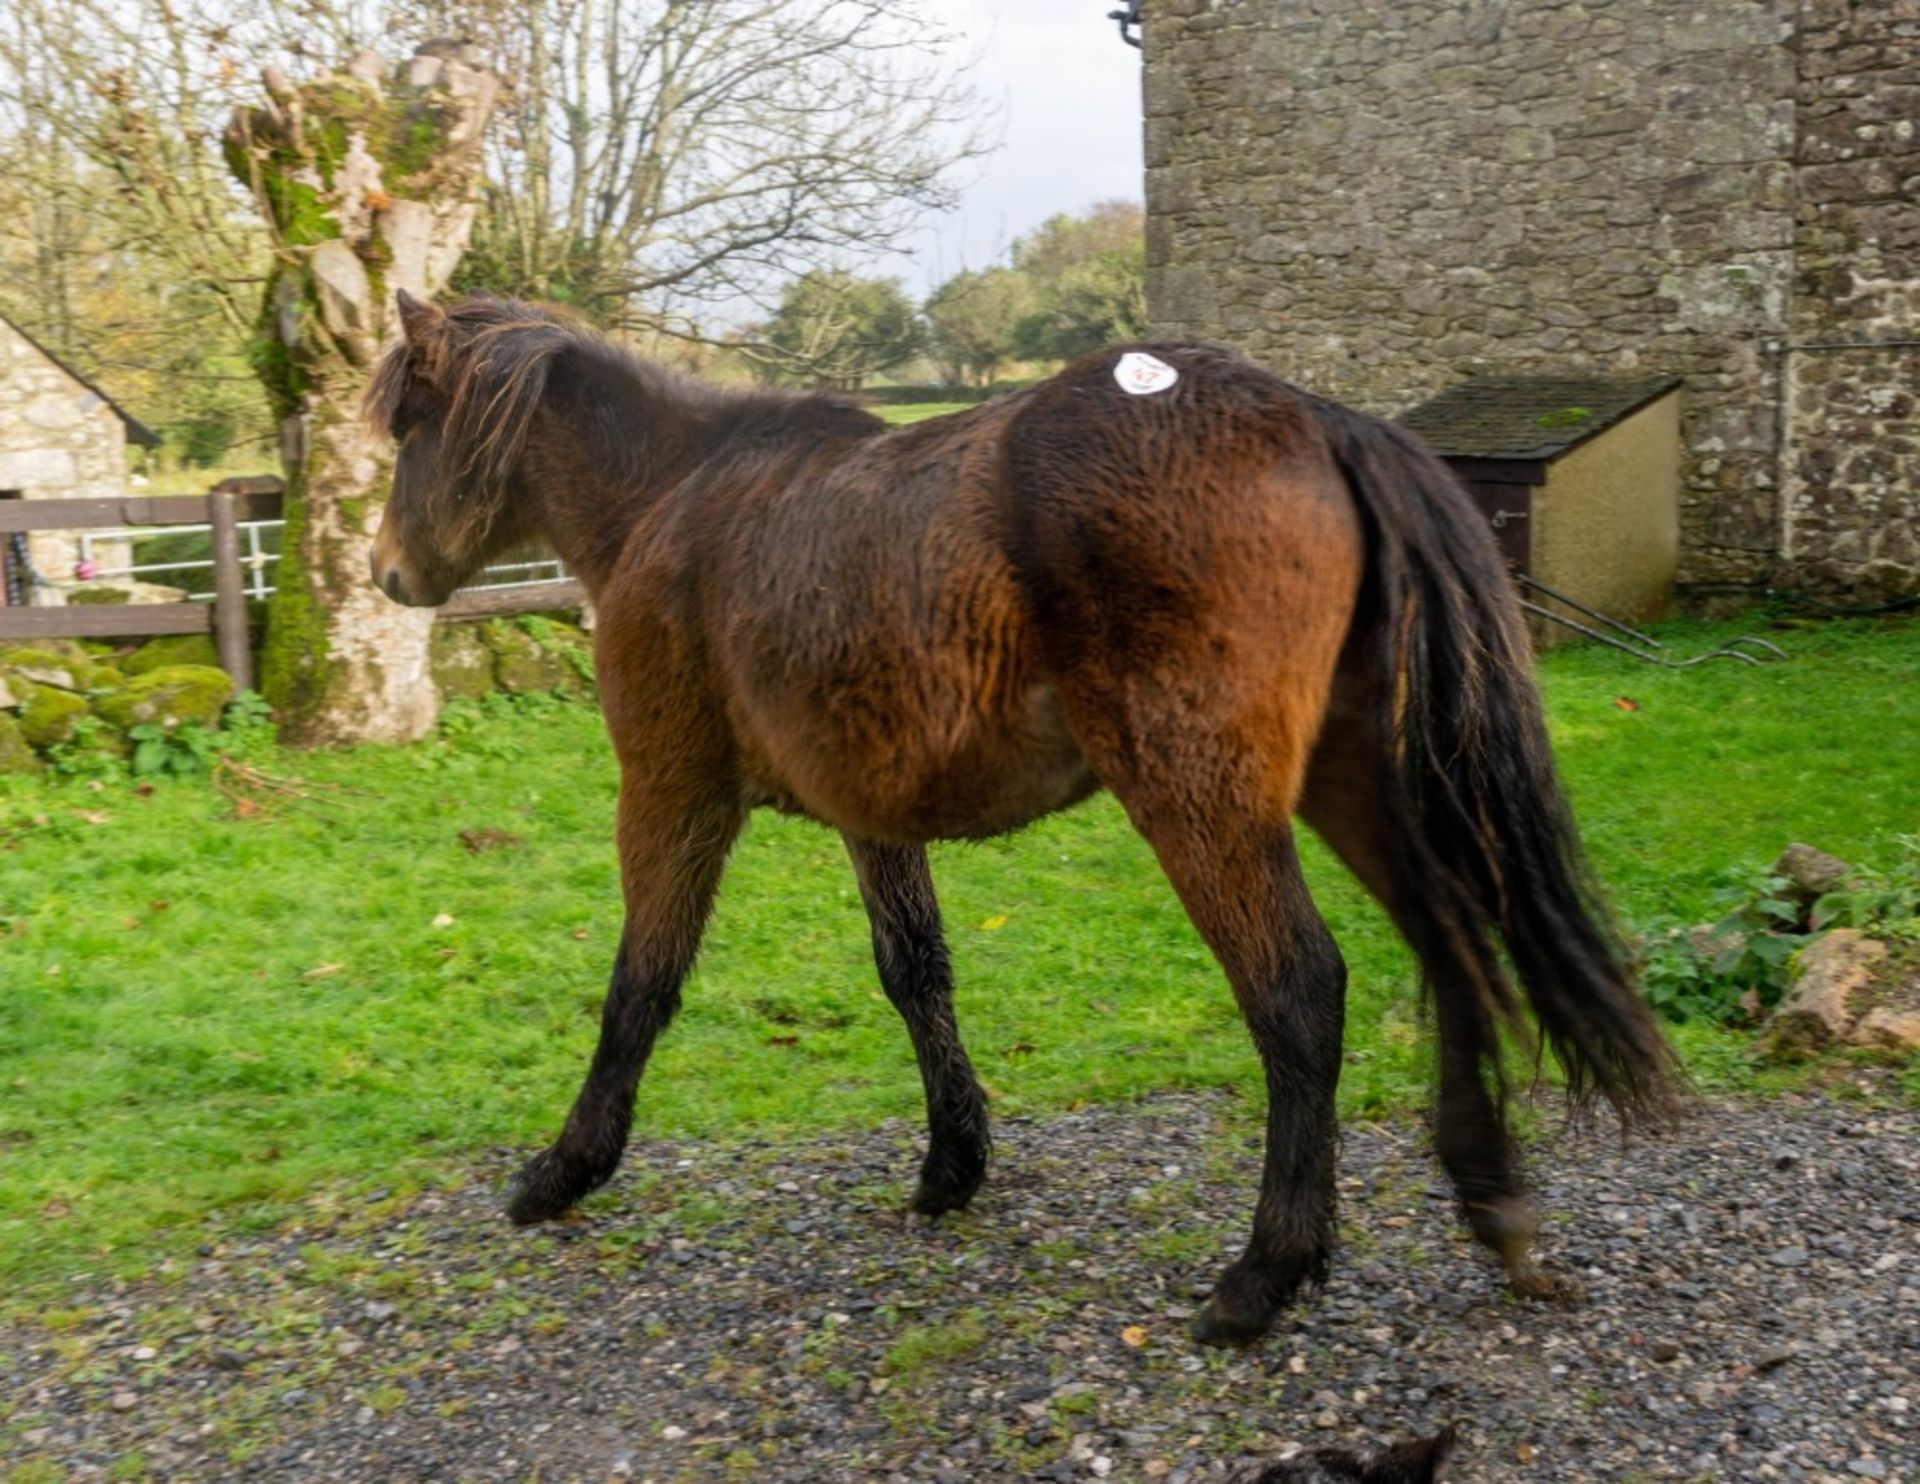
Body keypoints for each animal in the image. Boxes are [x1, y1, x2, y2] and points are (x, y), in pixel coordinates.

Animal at [366, 289, 1674, 1343]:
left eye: (407, 425)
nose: (385, 572)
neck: (675, 494)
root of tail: (1318, 420)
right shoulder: (871, 813)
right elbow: (916, 972)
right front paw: (954, 1159)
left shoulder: (672, 789)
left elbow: (642, 982)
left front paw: (566, 1165)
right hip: (1351, 778)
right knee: (1452, 948)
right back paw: (1492, 1200)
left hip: (1201, 799)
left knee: (1300, 990)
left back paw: (1265, 1272)